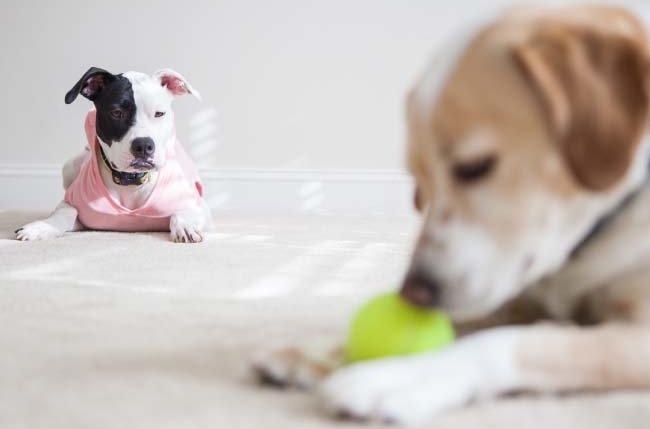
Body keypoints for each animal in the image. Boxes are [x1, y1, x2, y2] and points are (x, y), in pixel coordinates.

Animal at [15, 66, 211, 241]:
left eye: (159, 113)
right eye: (117, 113)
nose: (144, 145)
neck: (131, 181)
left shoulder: (201, 207)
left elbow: (184, 211)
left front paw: (185, 226)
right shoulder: (75, 207)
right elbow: (66, 212)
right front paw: (42, 226)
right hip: (69, 166)